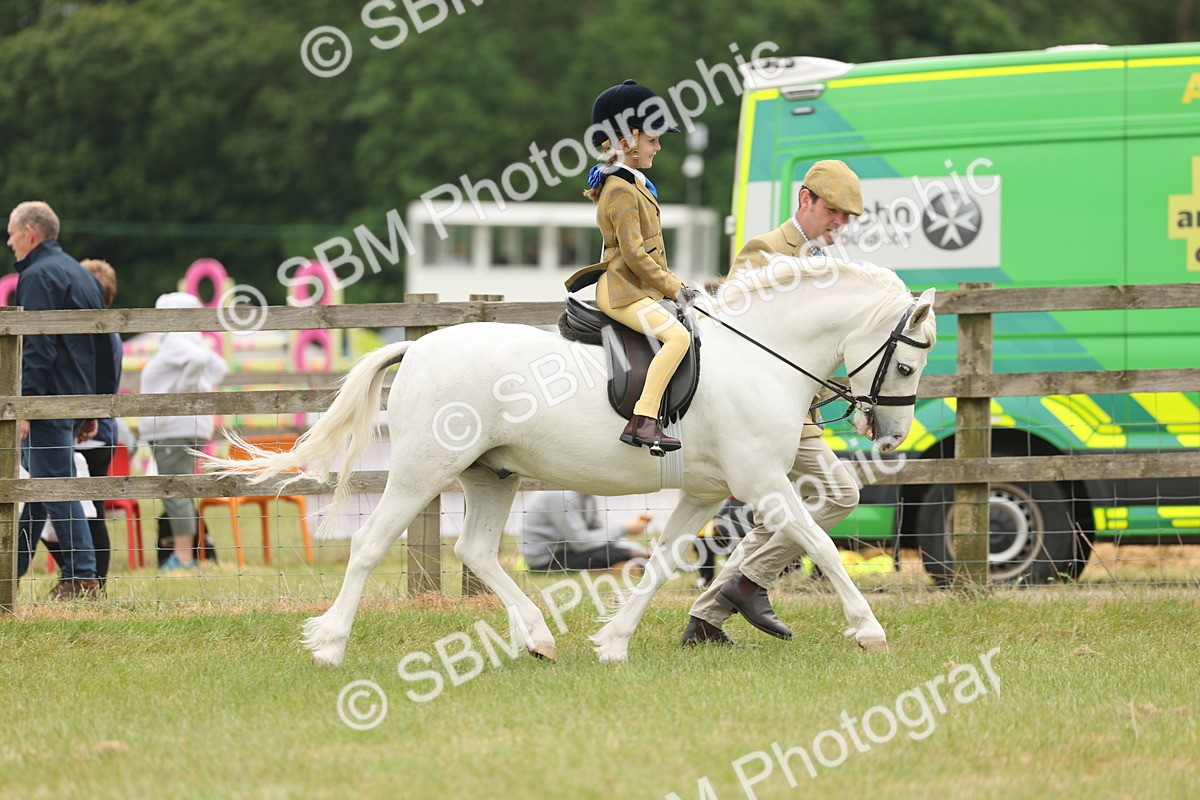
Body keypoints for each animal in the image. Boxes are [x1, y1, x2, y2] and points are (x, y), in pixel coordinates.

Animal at [204, 257, 937, 666]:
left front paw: (613, 643)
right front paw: (869, 631)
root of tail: (420, 347)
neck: (758, 356)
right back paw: (329, 645)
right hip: (420, 471)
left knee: (476, 551)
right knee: (370, 545)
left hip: (490, 475)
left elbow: (661, 562)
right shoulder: (762, 482)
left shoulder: (705, 493)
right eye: (908, 361)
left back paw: (537, 637)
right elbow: (824, 545)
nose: (893, 435)